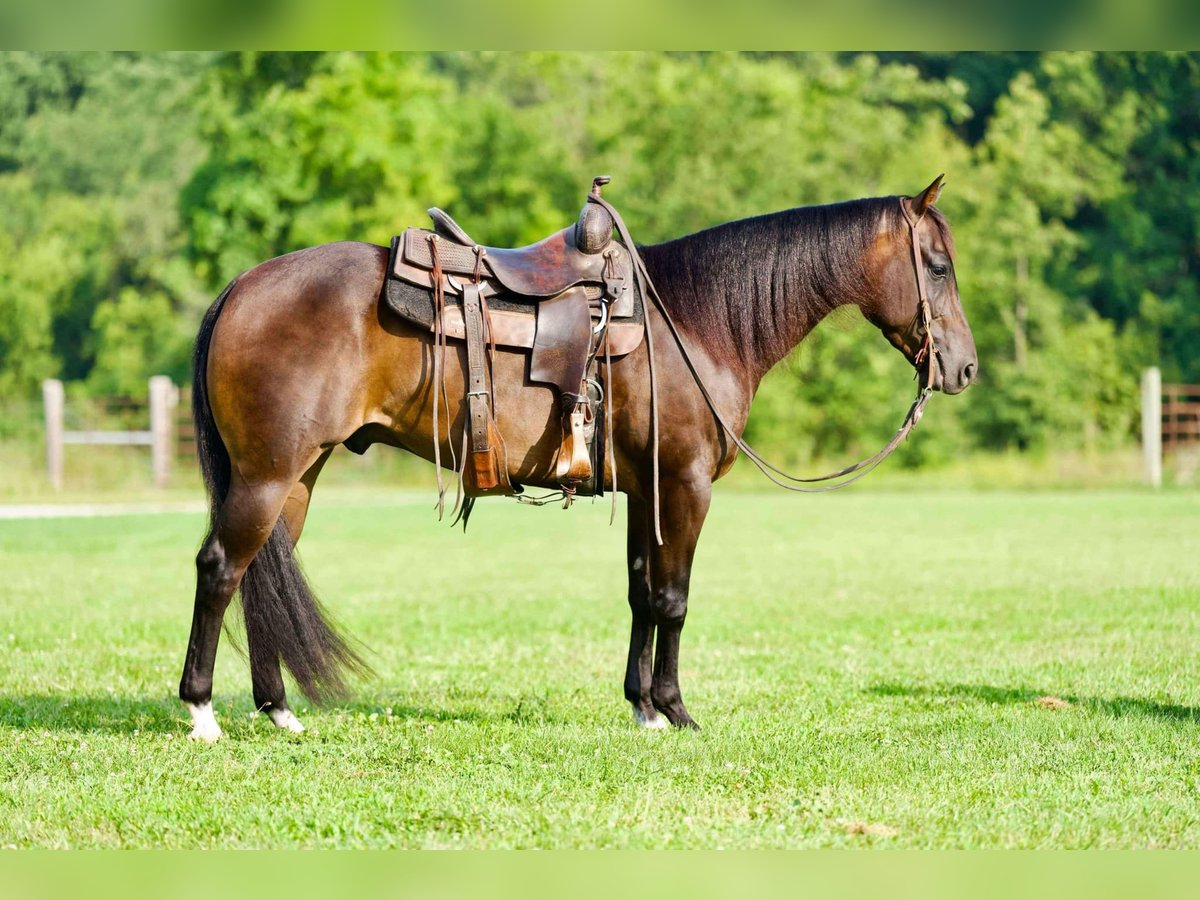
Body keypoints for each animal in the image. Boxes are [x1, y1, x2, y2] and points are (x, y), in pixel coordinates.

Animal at [179, 175, 977, 742]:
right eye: (937, 266)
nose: (963, 368)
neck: (695, 322)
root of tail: (242, 286)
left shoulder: (646, 490)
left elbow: (640, 594)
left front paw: (643, 707)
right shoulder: (684, 485)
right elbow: (674, 598)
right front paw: (676, 710)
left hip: (296, 477)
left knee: (258, 574)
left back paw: (278, 710)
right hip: (267, 476)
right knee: (220, 569)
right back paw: (202, 713)